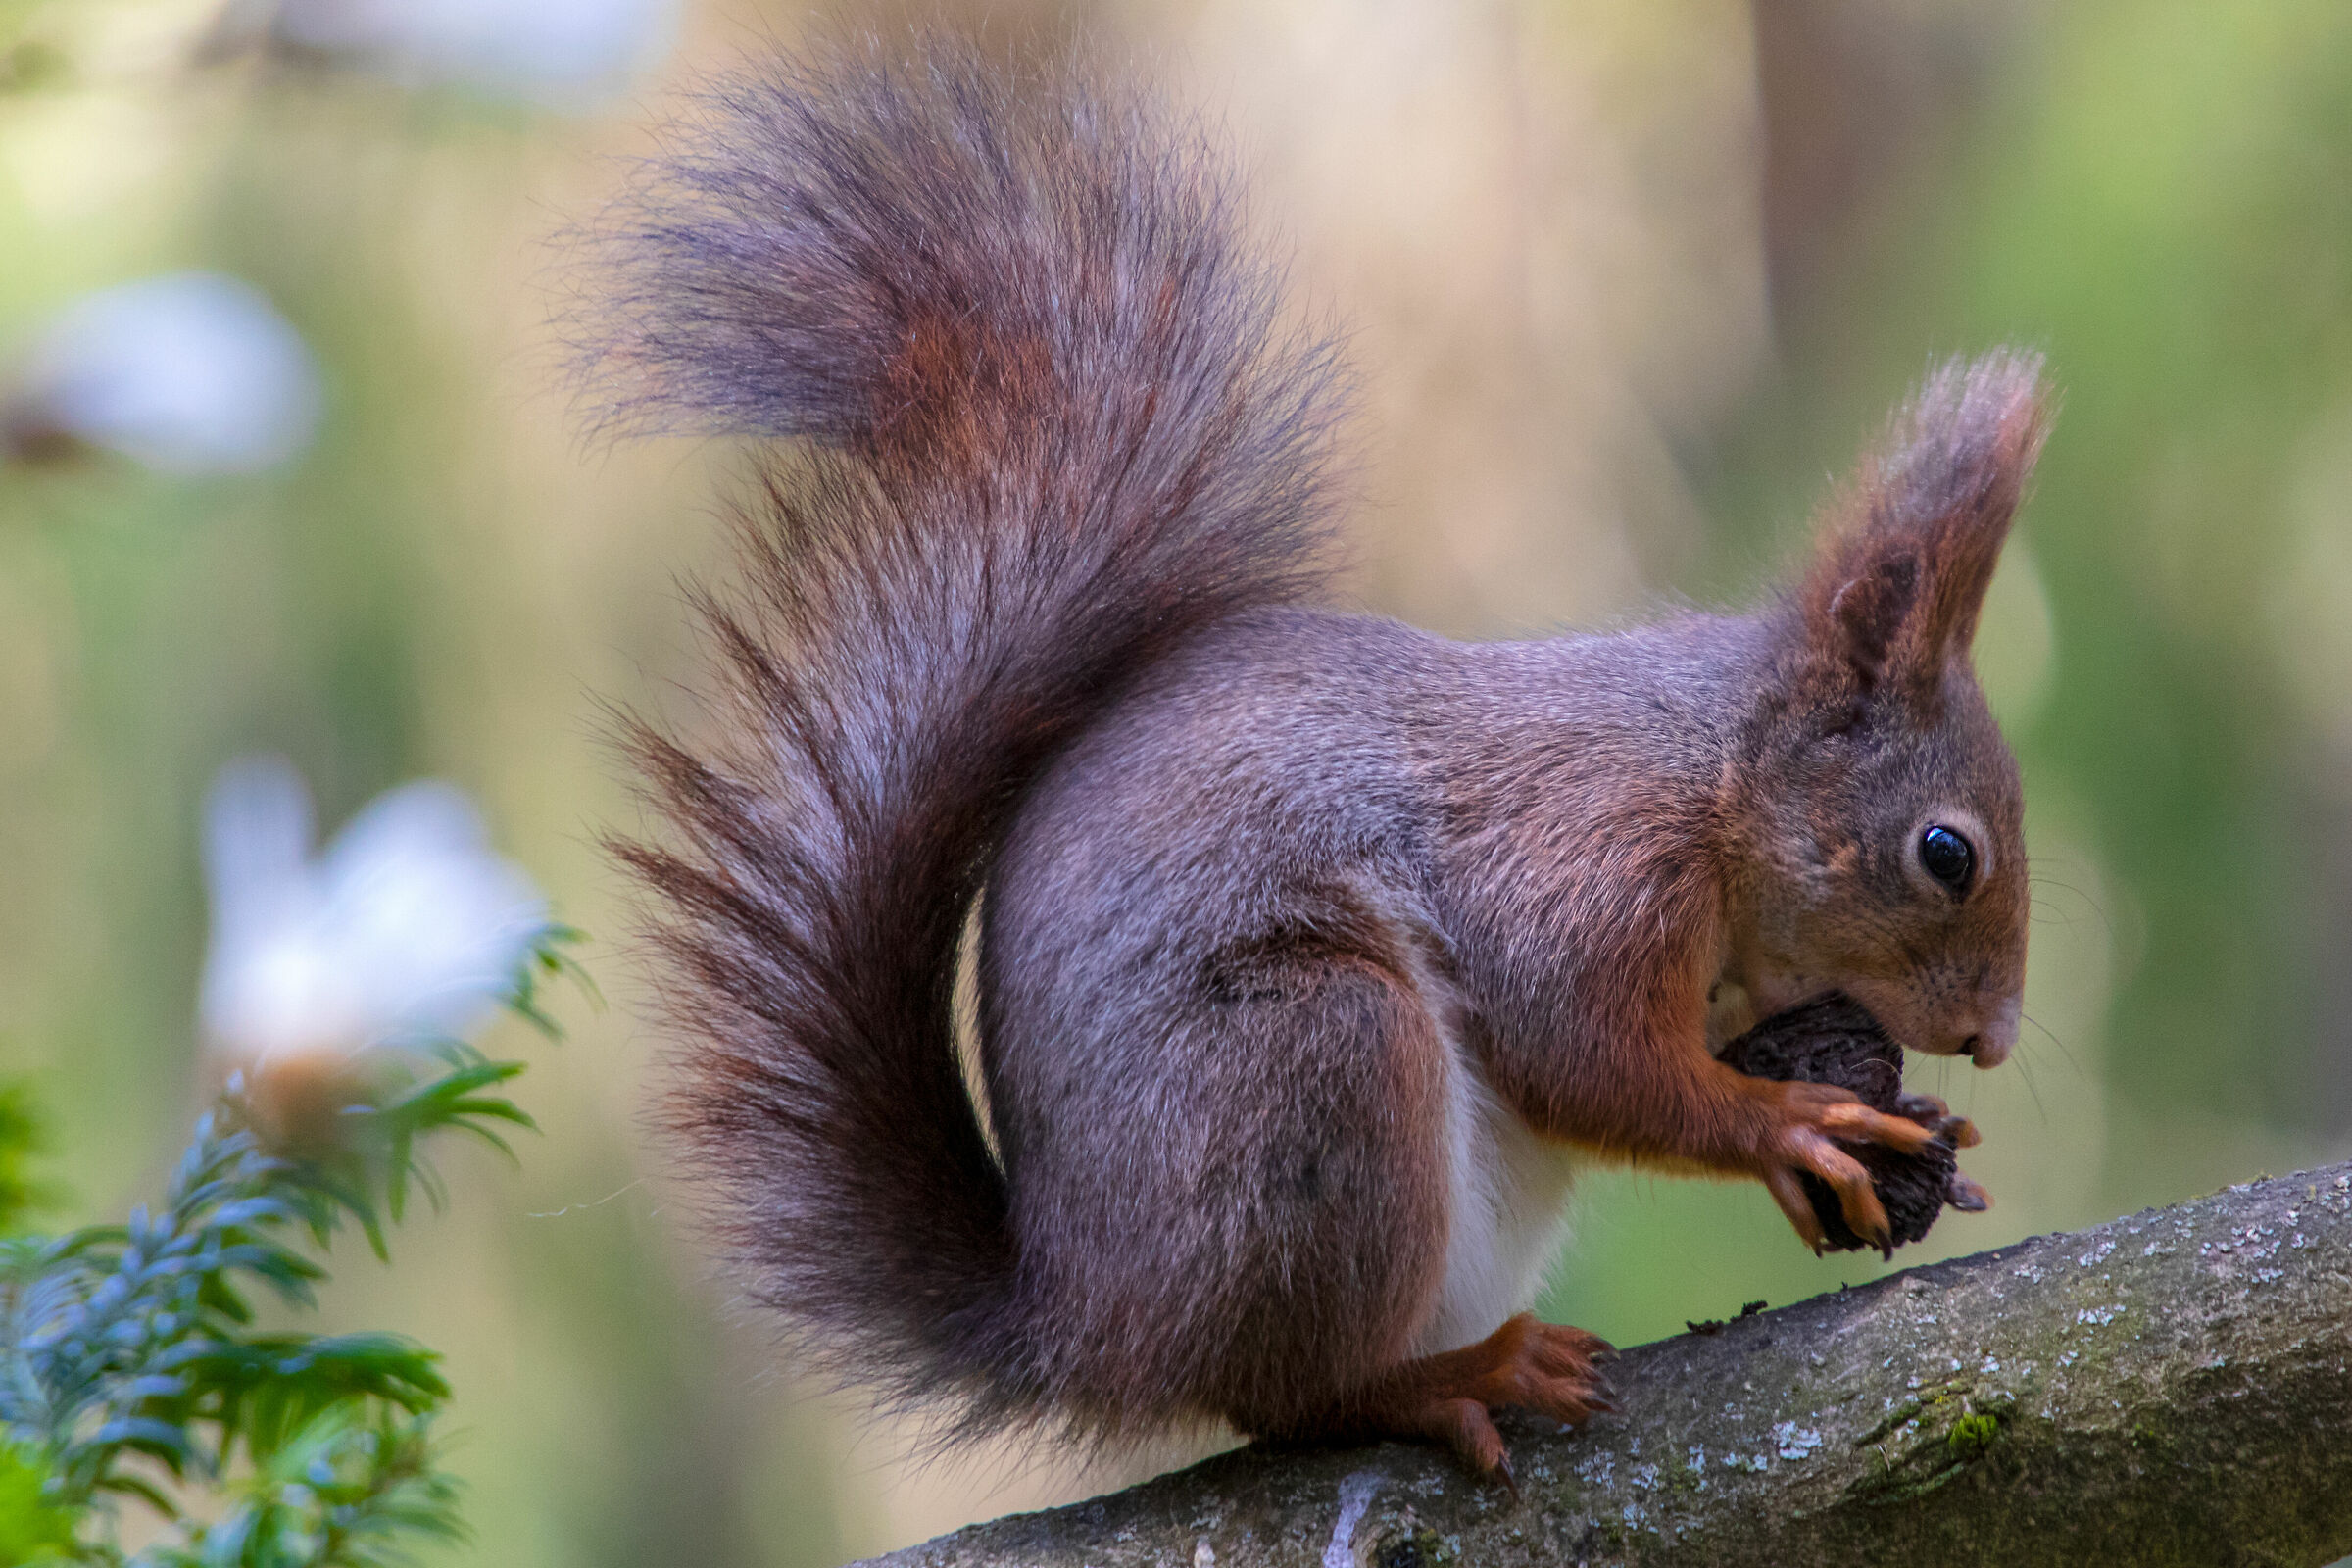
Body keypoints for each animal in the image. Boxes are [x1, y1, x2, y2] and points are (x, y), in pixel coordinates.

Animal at [585, 35, 2046, 1482]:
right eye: (1946, 852)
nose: (1993, 1042)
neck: (1721, 781)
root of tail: (1090, 1323)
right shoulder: (1588, 855)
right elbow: (1582, 1055)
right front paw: (1787, 1125)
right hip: (1315, 1067)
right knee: (1290, 1394)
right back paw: (1452, 1376)